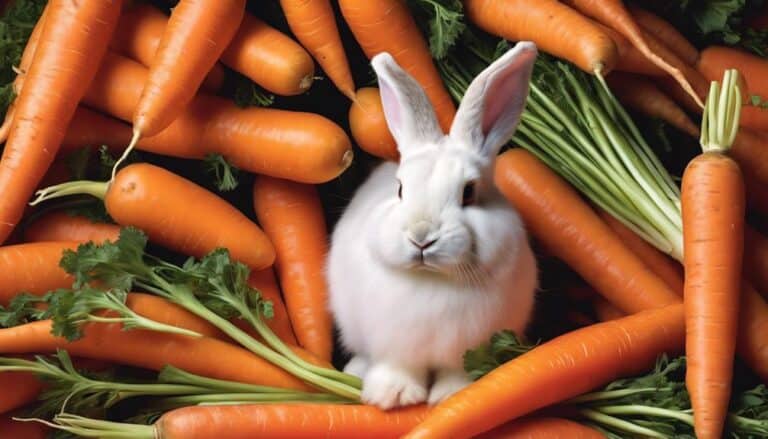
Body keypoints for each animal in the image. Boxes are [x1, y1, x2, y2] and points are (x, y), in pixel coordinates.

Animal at [326, 41, 539, 410]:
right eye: (400, 189)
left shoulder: (466, 350)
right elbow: (397, 366)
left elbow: (457, 372)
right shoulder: (394, 345)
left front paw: (452, 395)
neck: (433, 280)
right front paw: (392, 396)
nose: (421, 237)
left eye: (469, 192)